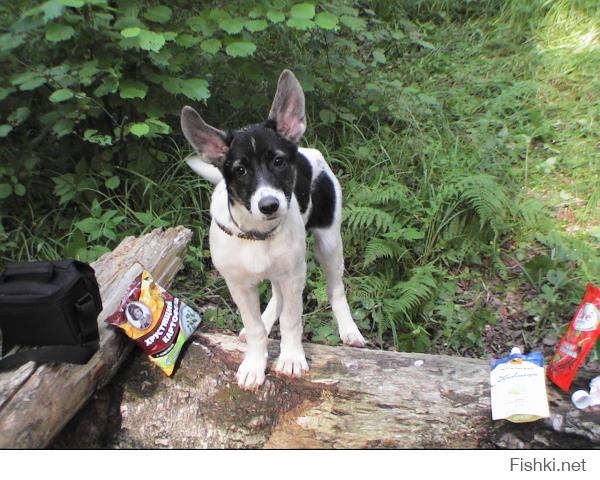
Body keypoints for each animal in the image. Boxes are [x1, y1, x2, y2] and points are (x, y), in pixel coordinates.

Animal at [179, 68, 366, 390]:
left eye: (278, 161)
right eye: (240, 170)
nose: (269, 205)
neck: (257, 234)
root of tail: (306, 149)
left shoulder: (293, 274)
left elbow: (292, 319)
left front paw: (291, 359)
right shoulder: (239, 285)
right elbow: (254, 326)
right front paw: (254, 364)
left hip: (328, 242)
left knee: (336, 288)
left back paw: (348, 329)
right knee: (277, 297)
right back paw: (268, 322)